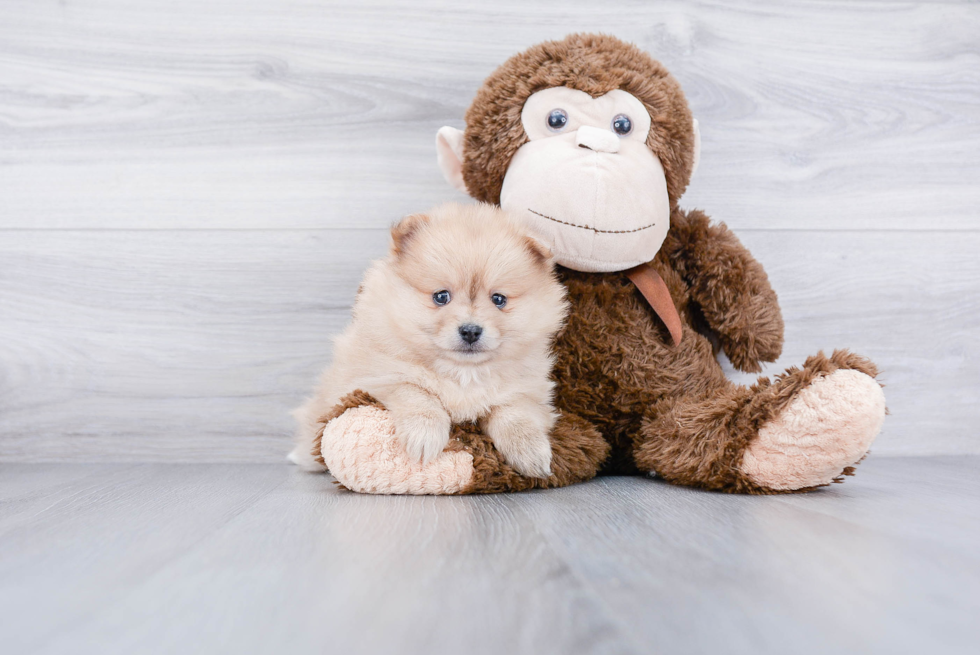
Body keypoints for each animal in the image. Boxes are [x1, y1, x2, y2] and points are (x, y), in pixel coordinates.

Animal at [290, 202, 568, 480]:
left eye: (498, 299)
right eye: (441, 296)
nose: (470, 331)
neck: (462, 374)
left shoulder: (527, 392)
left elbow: (514, 413)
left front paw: (530, 451)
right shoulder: (375, 378)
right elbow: (417, 393)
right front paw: (424, 435)